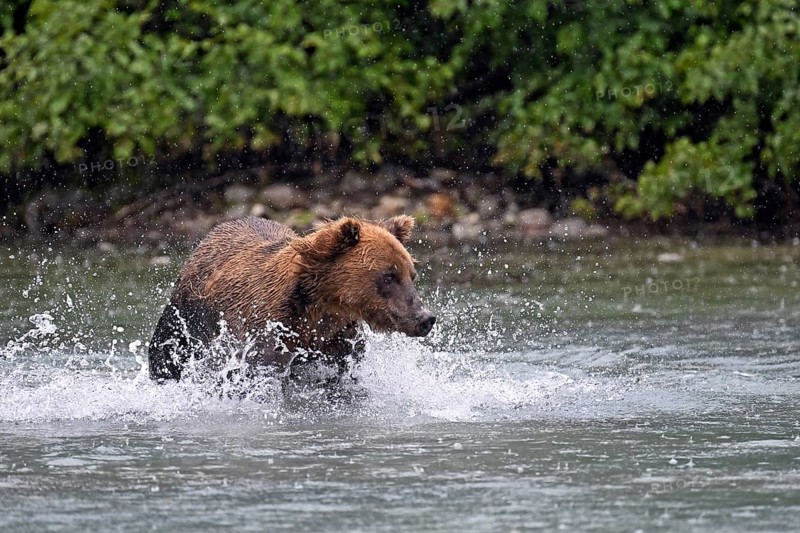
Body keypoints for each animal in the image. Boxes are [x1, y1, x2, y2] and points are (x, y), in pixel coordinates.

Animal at [147, 215, 435, 386]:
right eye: (389, 276)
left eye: (411, 274)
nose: (426, 318)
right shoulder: (266, 333)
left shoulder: (337, 340)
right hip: (186, 318)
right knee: (166, 353)